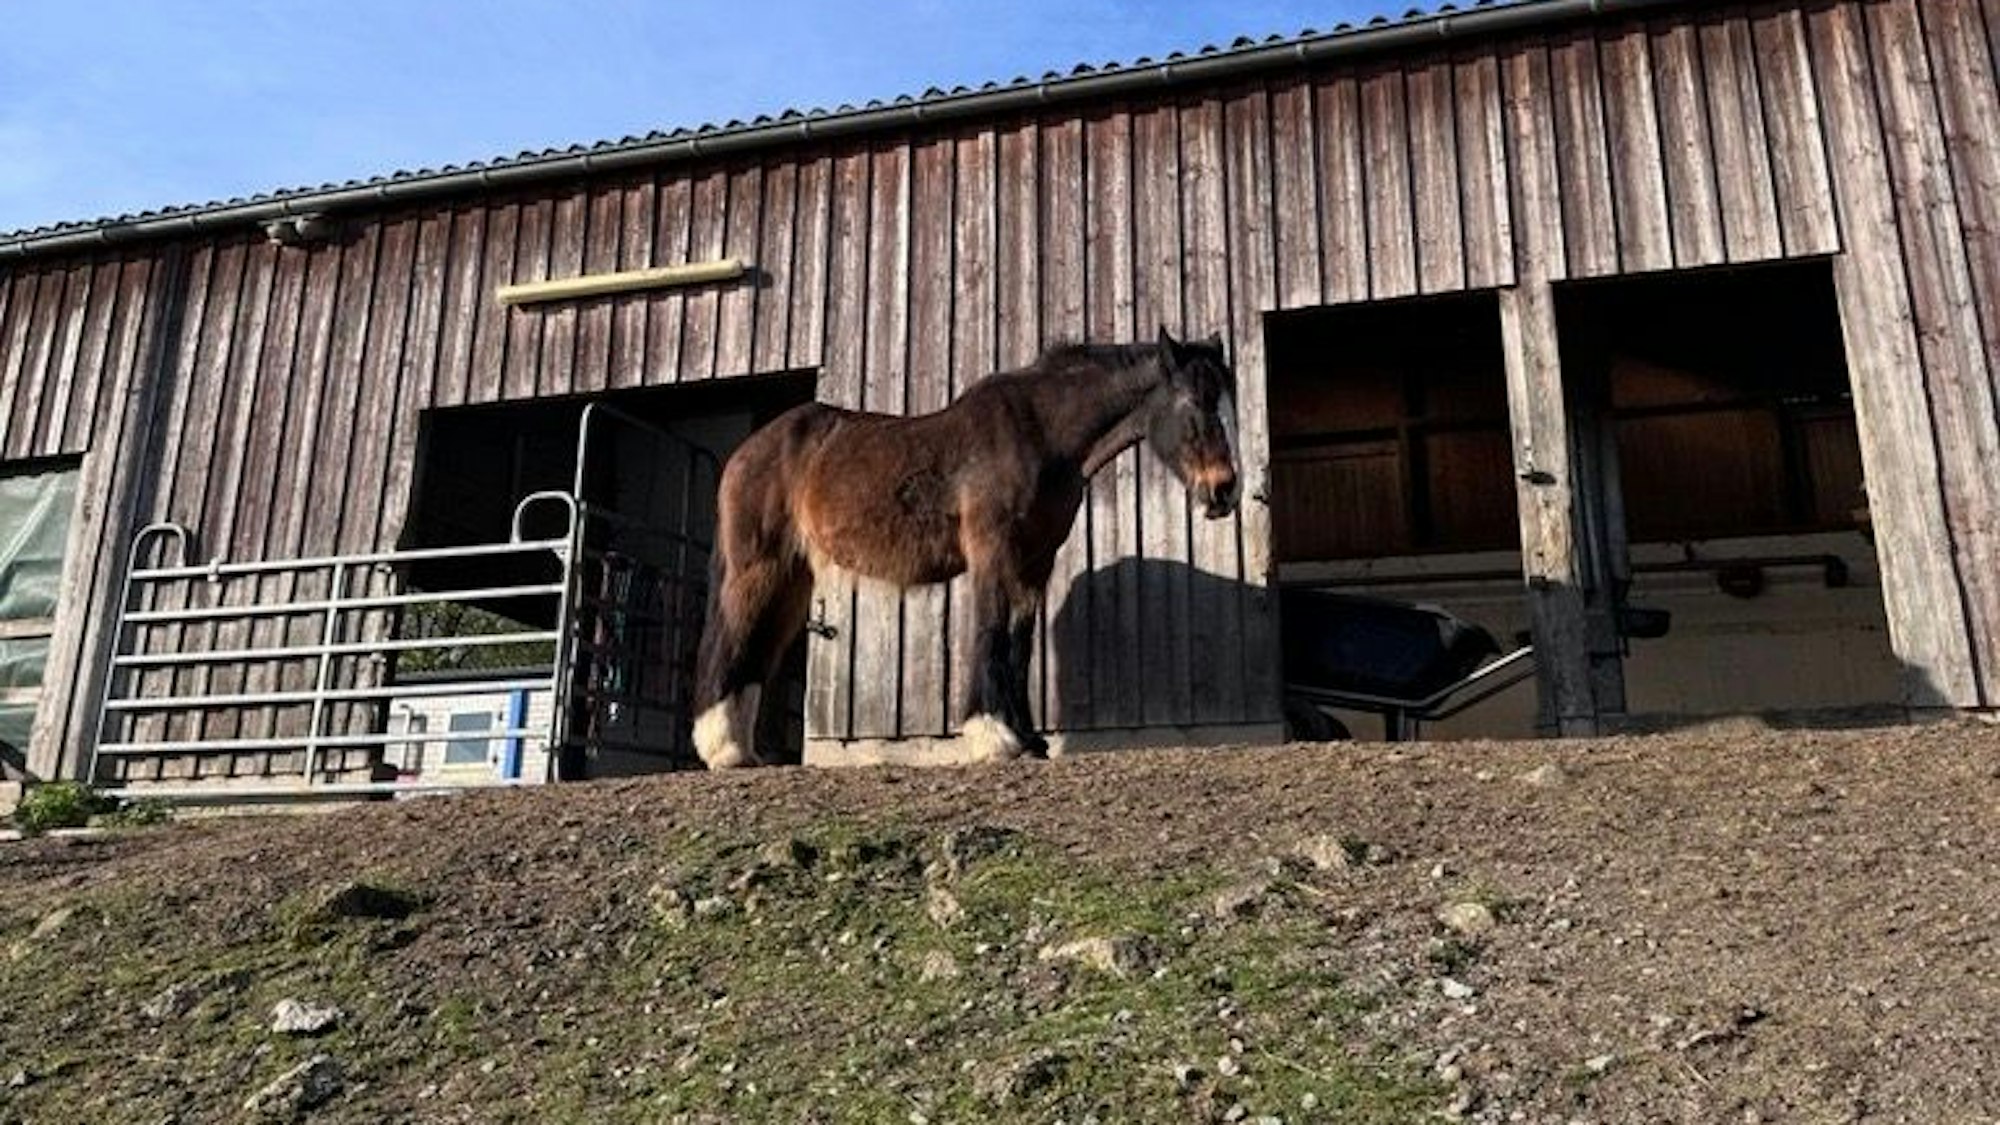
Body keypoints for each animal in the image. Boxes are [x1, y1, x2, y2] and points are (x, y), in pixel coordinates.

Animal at [690, 326, 1242, 768]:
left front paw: (1029, 739)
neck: (1040, 433)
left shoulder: (1034, 563)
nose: (1224, 492)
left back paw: (746, 751)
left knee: (757, 650)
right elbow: (992, 631)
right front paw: (995, 737)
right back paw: (727, 752)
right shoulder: (994, 553)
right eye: (1195, 405)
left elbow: (1020, 642)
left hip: (792, 578)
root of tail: (747, 450)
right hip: (757, 567)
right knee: (734, 640)